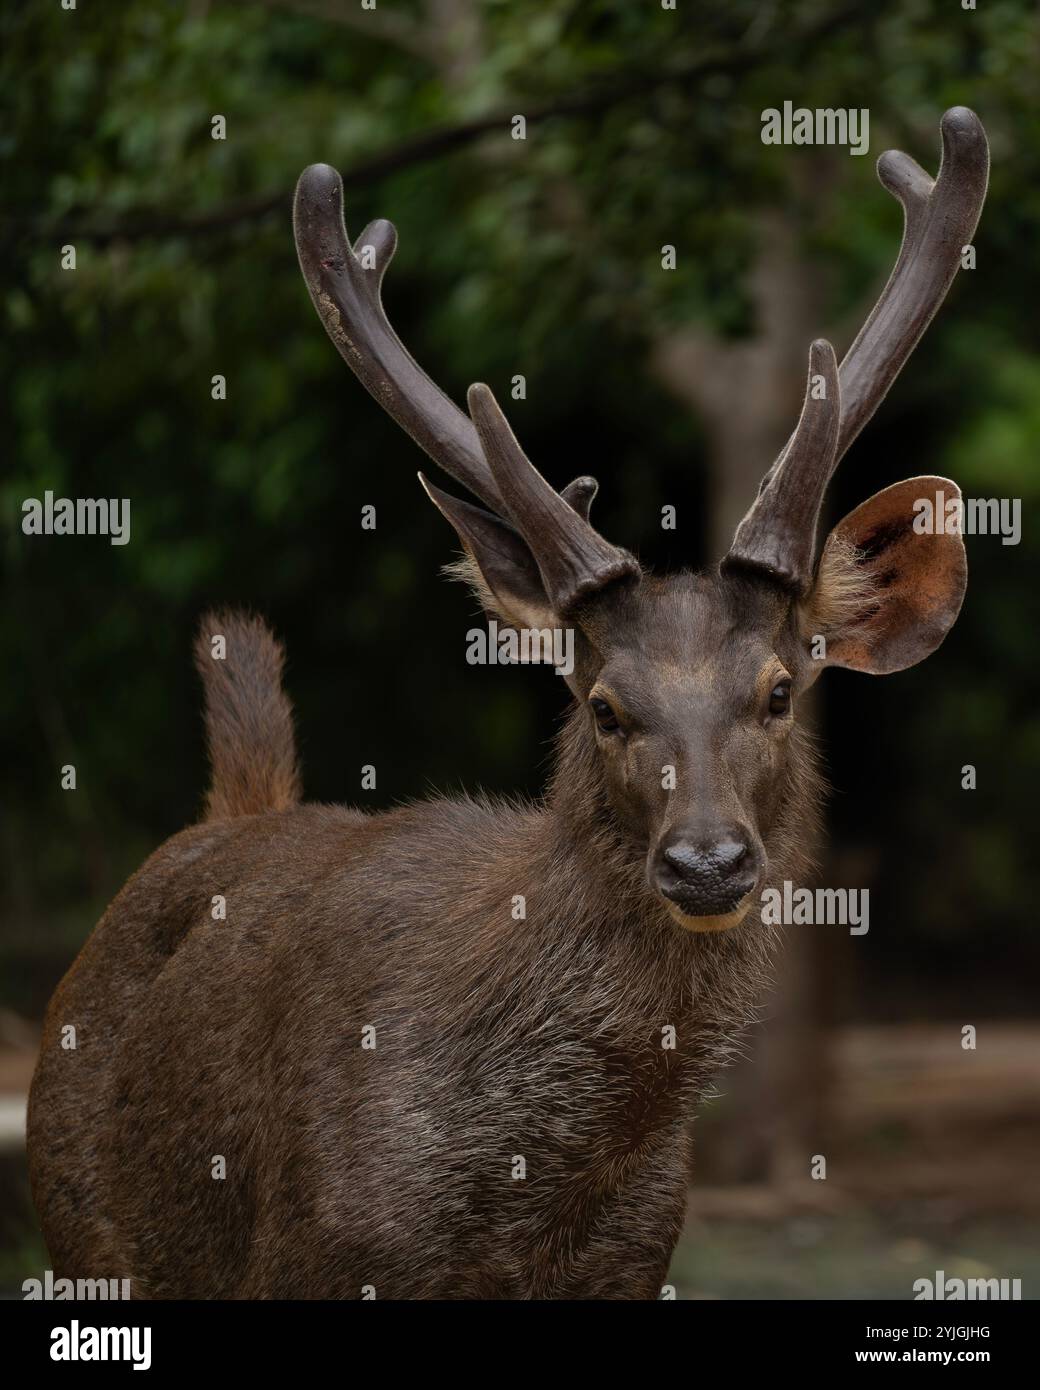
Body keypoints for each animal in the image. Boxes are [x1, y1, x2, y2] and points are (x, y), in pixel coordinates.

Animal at [22, 105, 984, 1289]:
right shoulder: (309, 1257)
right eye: (603, 706)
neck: (528, 1201)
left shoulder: (637, 1260)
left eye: (776, 693)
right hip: (80, 1228)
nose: (706, 861)